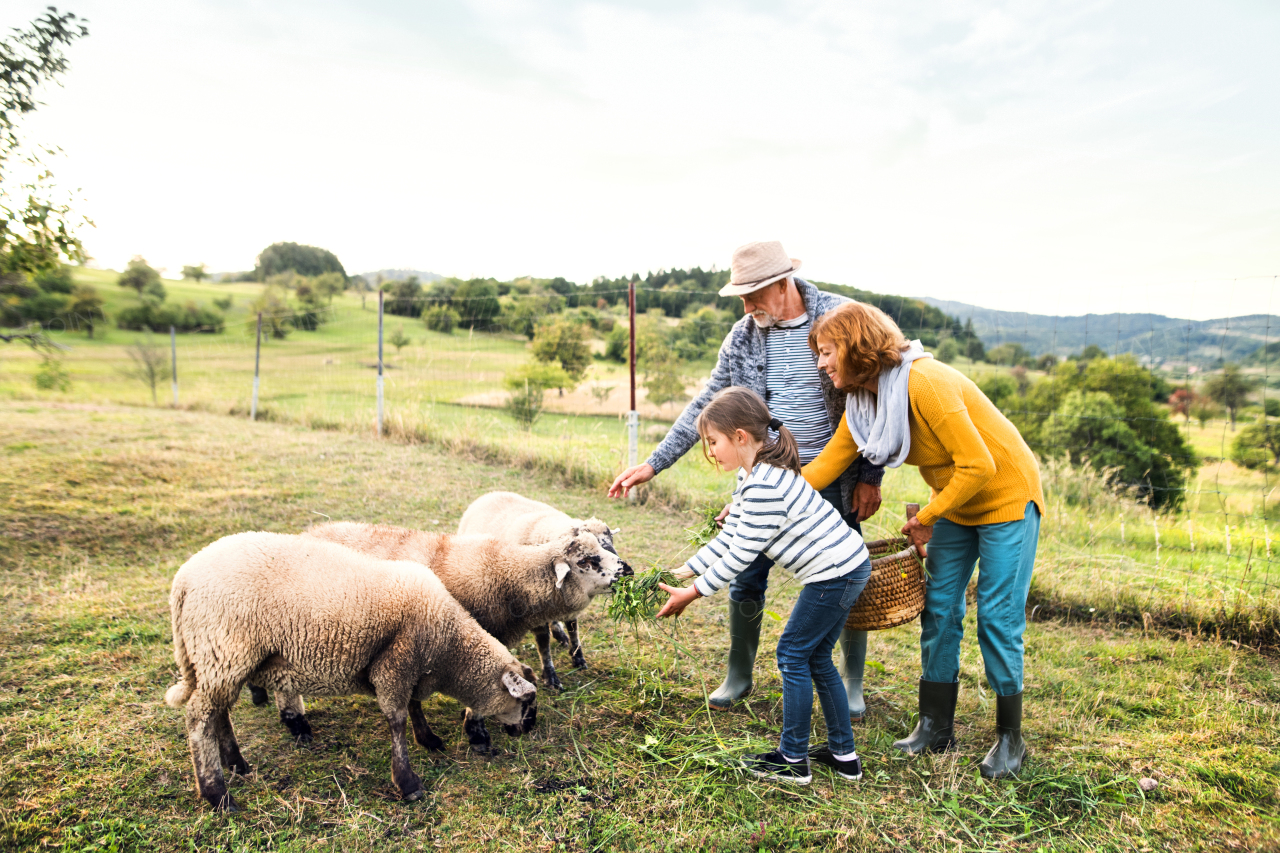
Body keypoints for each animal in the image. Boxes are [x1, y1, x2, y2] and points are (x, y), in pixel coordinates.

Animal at [163, 527, 535, 809]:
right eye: (526, 701)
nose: (526, 730)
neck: (449, 649)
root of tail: (183, 580)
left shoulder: (410, 667)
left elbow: (414, 706)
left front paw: (428, 738)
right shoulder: (395, 665)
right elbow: (397, 720)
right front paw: (408, 782)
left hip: (218, 659)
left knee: (219, 712)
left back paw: (236, 764)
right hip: (225, 648)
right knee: (199, 717)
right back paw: (217, 793)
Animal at [458, 489, 622, 686]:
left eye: (611, 540)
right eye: (594, 546)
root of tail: (492, 493)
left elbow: (573, 629)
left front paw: (578, 658)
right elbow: (543, 643)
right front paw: (550, 676)